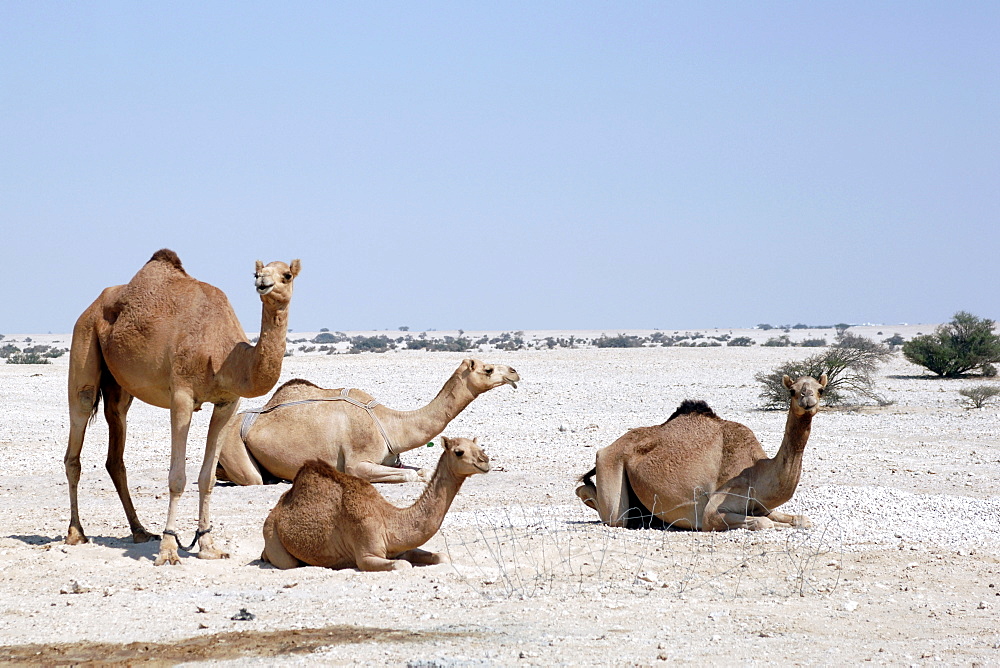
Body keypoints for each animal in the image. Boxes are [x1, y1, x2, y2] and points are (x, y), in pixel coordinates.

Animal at [65, 249, 300, 564]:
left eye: (287, 275)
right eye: (256, 273)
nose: (263, 283)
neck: (223, 356)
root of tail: (90, 308)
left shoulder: (228, 402)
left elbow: (208, 477)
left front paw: (208, 545)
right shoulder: (181, 396)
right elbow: (177, 477)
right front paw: (168, 549)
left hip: (119, 386)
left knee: (115, 443)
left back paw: (140, 531)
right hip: (84, 339)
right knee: (77, 428)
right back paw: (75, 533)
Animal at [216, 360, 520, 486]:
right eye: (488, 370)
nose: (514, 372)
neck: (391, 424)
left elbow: (419, 471)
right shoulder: (357, 463)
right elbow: (411, 475)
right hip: (232, 443)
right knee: (252, 478)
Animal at [260, 436, 490, 572]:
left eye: (479, 446)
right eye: (459, 452)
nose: (485, 461)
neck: (390, 520)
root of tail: (276, 511)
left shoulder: (402, 546)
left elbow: (441, 557)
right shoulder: (366, 553)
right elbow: (403, 566)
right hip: (272, 534)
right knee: (286, 561)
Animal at [576, 376, 824, 532]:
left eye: (820, 389)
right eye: (792, 390)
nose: (807, 399)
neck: (757, 470)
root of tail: (607, 448)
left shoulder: (761, 506)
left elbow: (802, 519)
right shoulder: (712, 511)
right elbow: (764, 523)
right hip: (611, 467)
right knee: (606, 508)